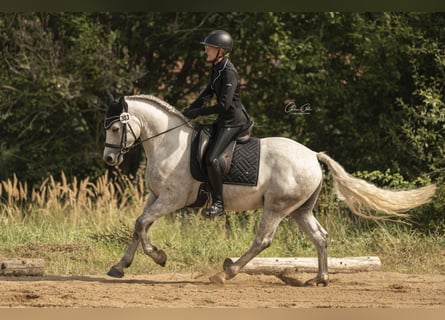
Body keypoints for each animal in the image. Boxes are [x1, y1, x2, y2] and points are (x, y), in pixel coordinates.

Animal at [101, 94, 434, 286]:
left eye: (116, 128)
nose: (109, 160)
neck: (168, 143)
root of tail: (313, 155)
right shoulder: (155, 196)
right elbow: (138, 227)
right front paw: (119, 267)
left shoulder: (172, 198)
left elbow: (142, 224)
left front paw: (159, 257)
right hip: (300, 210)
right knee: (320, 237)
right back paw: (320, 278)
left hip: (276, 206)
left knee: (263, 240)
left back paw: (226, 272)